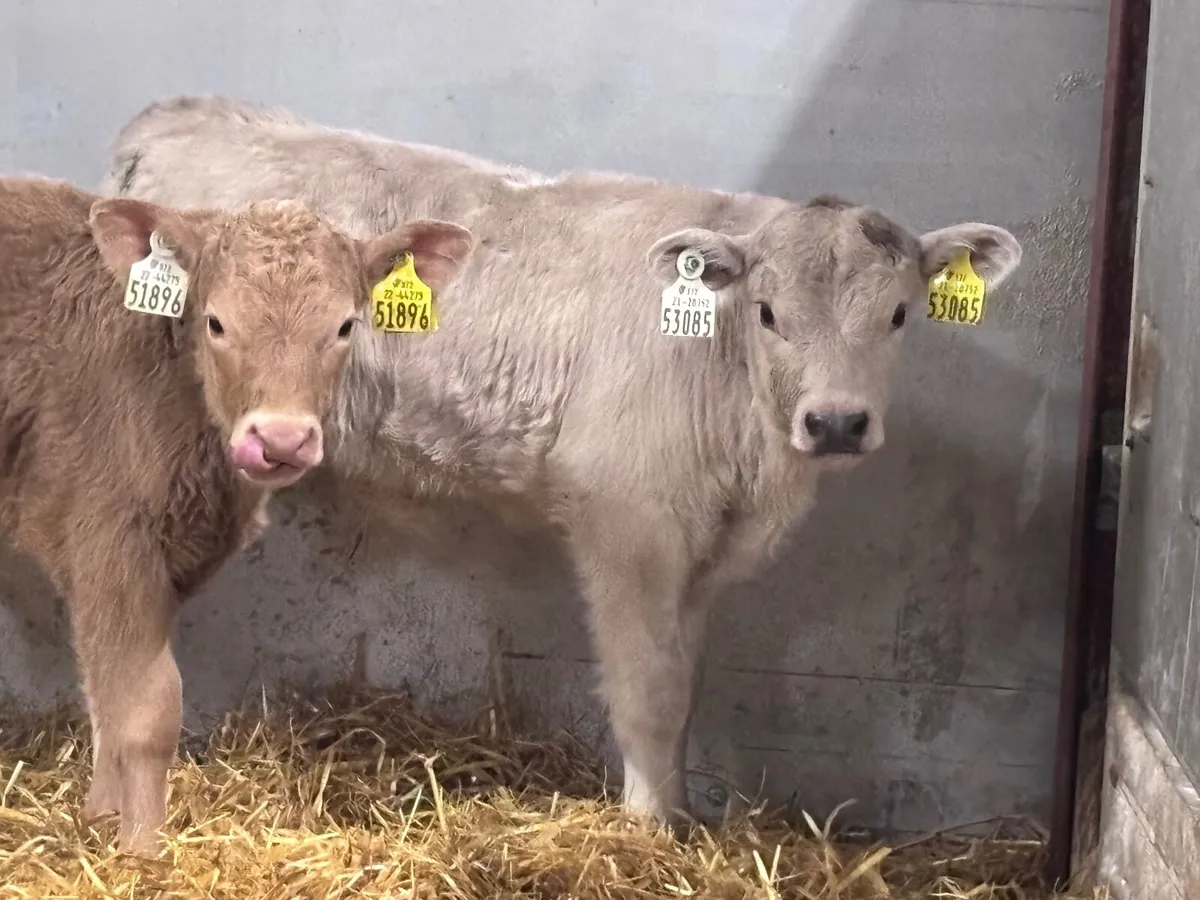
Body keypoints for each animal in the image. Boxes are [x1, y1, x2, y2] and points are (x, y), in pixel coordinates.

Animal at [0, 175, 473, 853]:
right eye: (216, 322)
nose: (280, 439)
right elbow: (146, 709)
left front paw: (100, 820)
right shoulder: (108, 532)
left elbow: (106, 695)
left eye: (344, 326)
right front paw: (141, 853)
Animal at [101, 94, 1024, 833]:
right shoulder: (630, 523)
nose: (835, 421)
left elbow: (687, 684)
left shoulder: (699, 549)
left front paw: (678, 814)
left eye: (899, 313)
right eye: (767, 312)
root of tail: (176, 118)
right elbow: (650, 690)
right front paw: (649, 829)